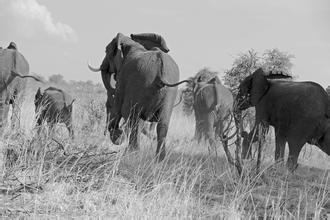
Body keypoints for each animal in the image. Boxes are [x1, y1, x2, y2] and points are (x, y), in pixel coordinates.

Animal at [87, 32, 188, 160]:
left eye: (106, 50)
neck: (132, 44)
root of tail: (161, 69)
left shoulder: (123, 78)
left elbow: (118, 107)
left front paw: (118, 137)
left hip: (142, 83)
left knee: (134, 119)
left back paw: (132, 153)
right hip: (170, 91)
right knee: (161, 123)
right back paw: (159, 159)